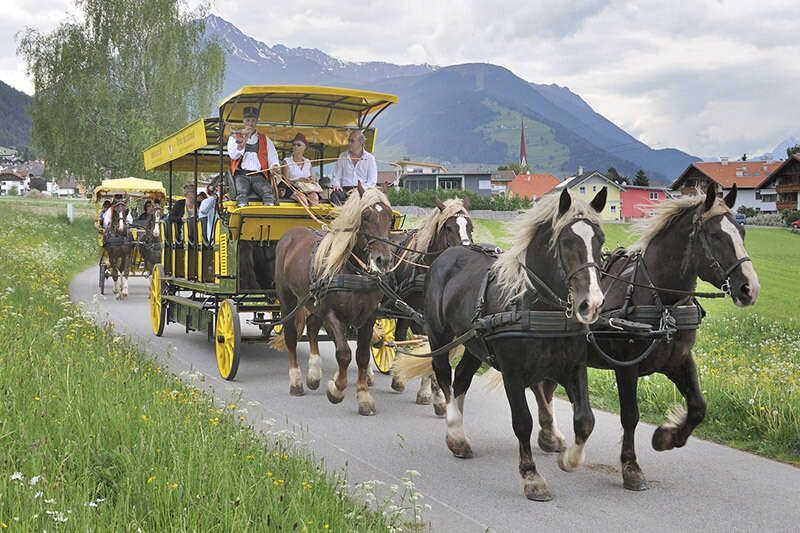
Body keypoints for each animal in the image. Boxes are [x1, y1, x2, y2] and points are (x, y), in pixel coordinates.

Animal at [274, 183, 396, 416]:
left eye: (390, 217)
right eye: (365, 216)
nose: (383, 260)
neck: (353, 272)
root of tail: (291, 233)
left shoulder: (368, 317)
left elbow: (362, 356)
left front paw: (364, 397)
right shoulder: (332, 315)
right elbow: (344, 353)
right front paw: (337, 389)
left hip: (313, 303)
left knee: (312, 327)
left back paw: (314, 374)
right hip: (288, 300)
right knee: (291, 336)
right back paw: (296, 381)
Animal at [532, 184, 764, 490]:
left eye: (742, 231)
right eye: (716, 236)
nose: (750, 288)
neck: (661, 301)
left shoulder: (678, 360)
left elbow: (698, 406)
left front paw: (666, 437)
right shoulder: (626, 367)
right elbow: (630, 415)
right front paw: (631, 467)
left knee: (544, 388)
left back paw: (550, 436)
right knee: (539, 387)